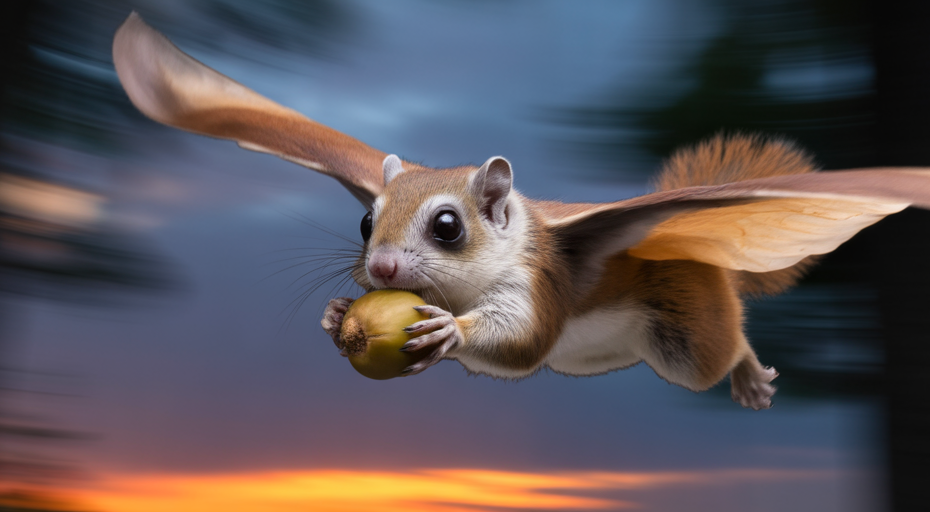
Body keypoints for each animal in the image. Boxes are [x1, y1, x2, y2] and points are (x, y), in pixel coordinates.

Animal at [112, 13, 930, 409]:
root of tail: (709, 263)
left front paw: (451, 332)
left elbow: (519, 340)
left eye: (448, 226)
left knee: (723, 353)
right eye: (365, 221)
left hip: (687, 335)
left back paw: (751, 376)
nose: (381, 268)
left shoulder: (540, 282)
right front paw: (338, 312)